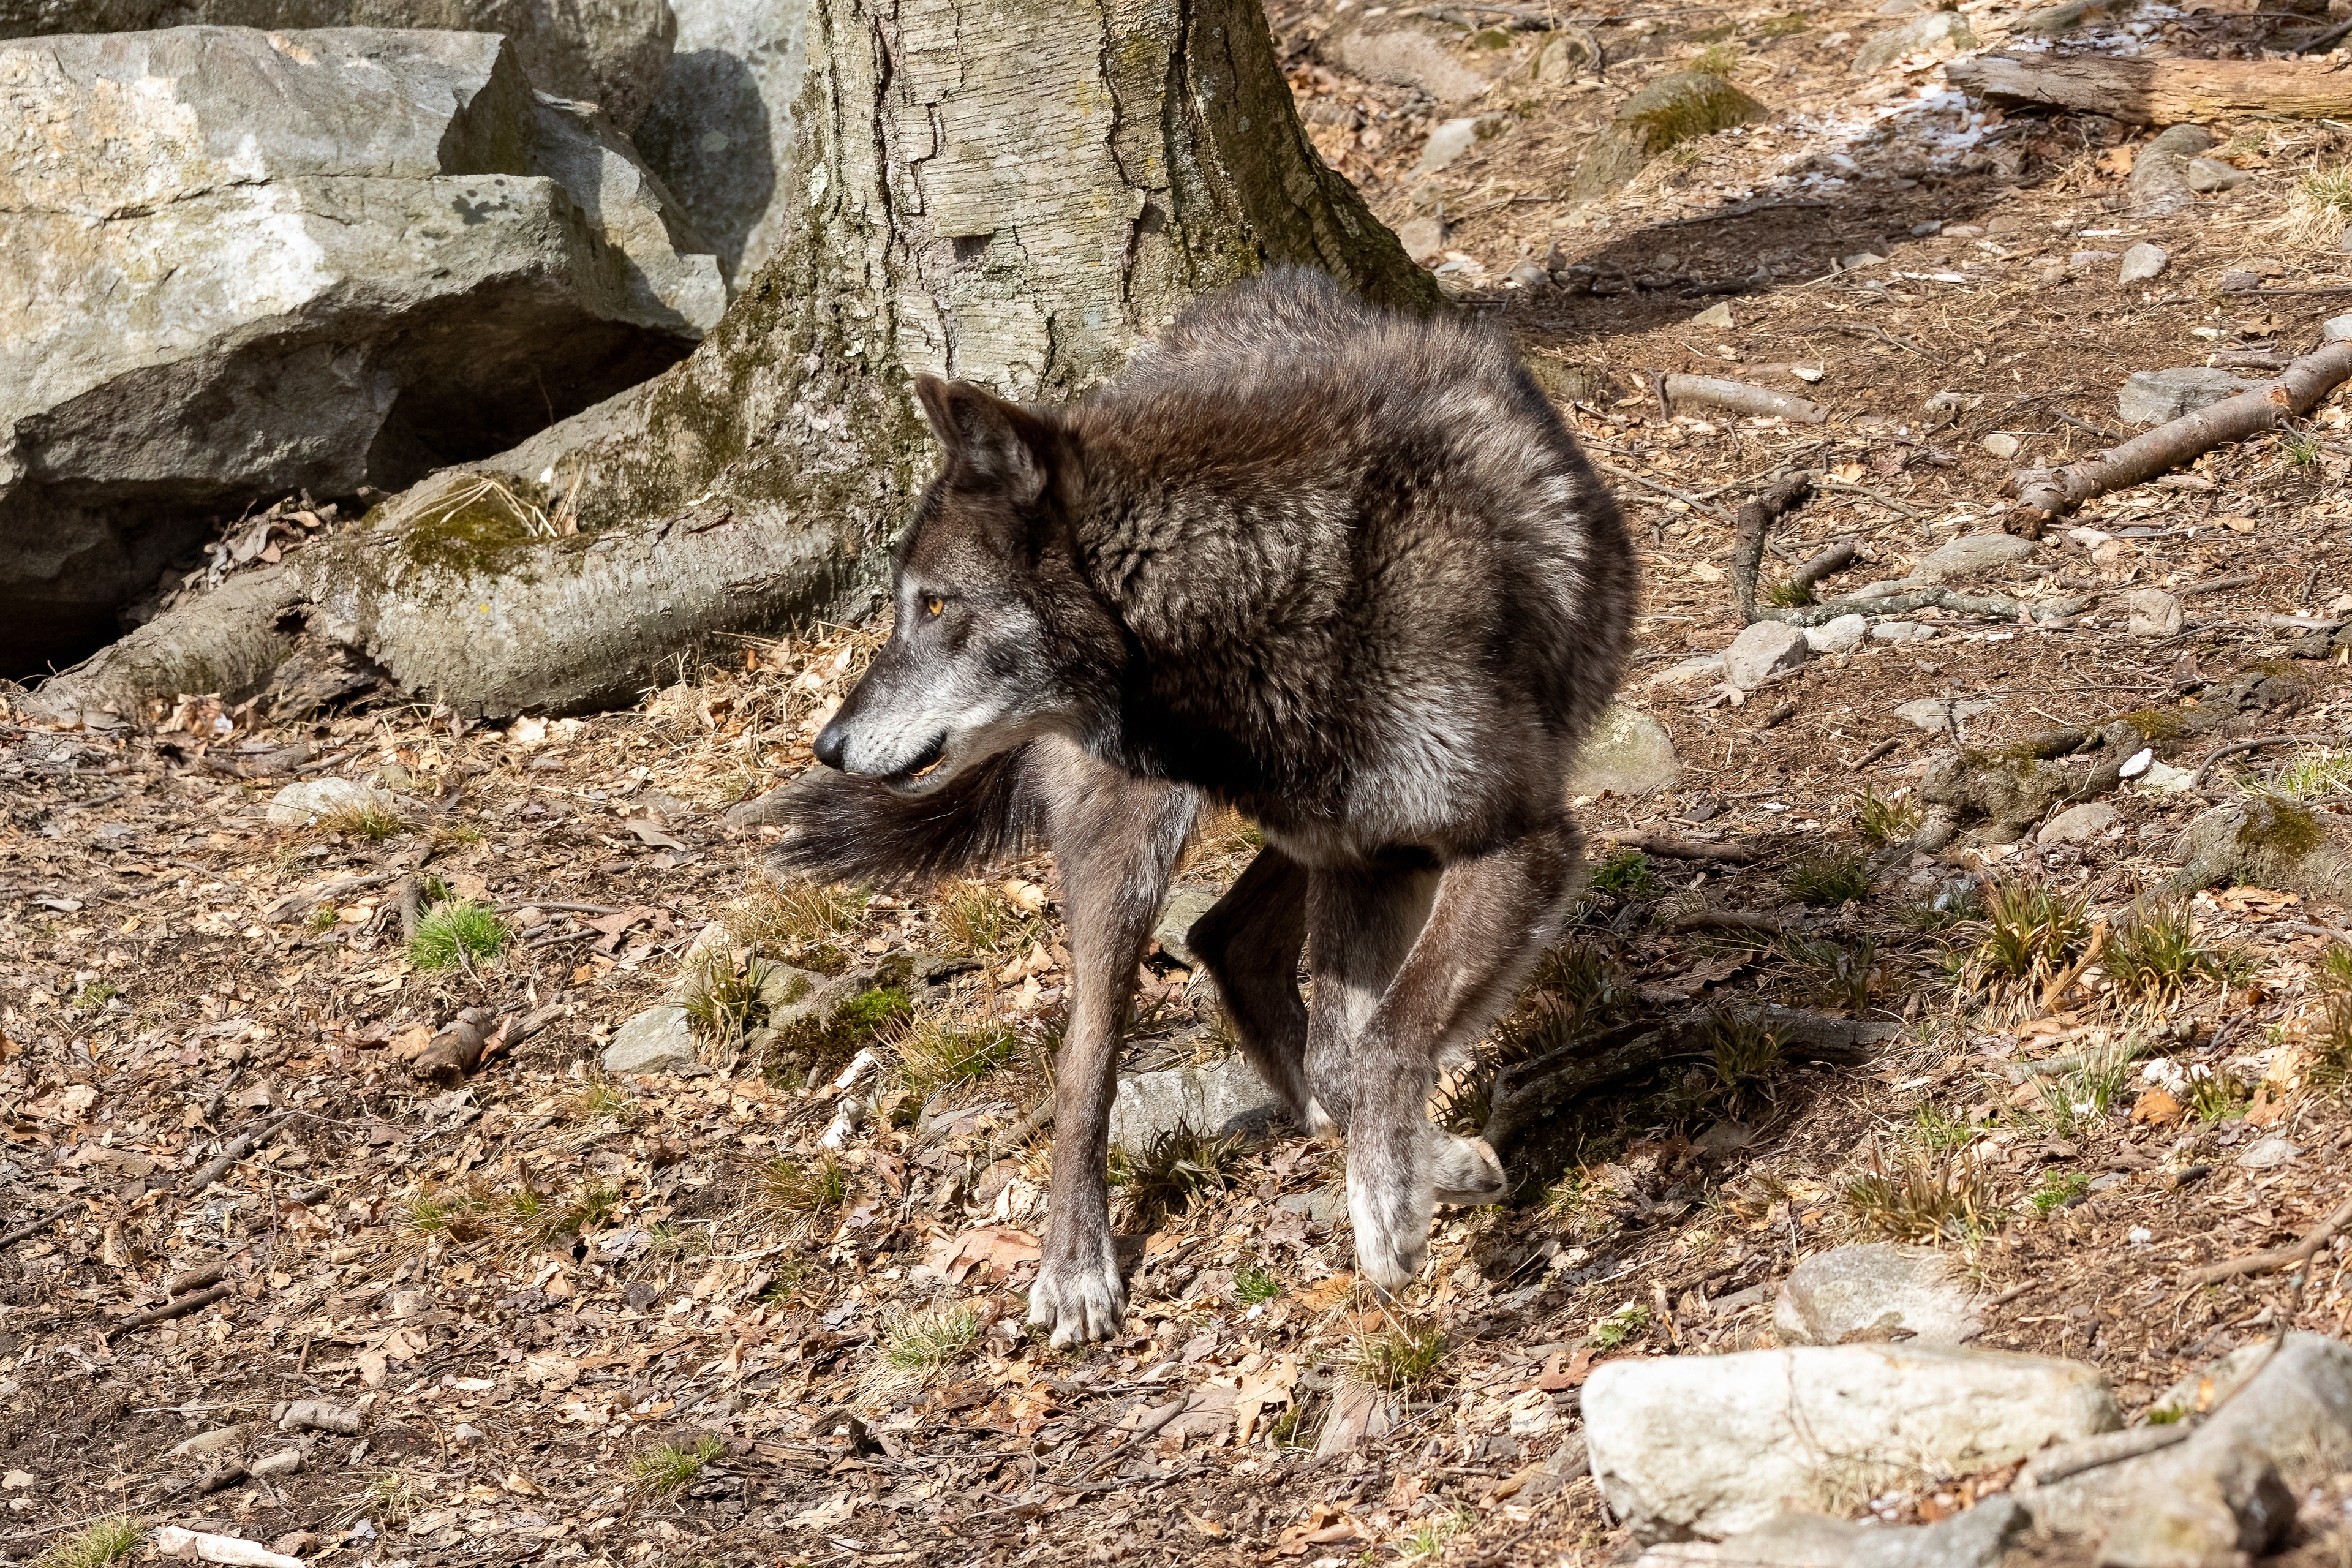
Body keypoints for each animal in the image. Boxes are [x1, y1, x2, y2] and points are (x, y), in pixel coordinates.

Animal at [777, 268, 1635, 1345]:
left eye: (934, 604)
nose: (829, 746)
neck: (1272, 586)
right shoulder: (1398, 859)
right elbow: (1359, 1051)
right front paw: (1406, 1194)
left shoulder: (1482, 845)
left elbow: (1372, 1047)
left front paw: (1404, 1179)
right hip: (1134, 852)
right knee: (1087, 1056)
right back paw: (1076, 1268)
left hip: (1314, 842)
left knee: (1227, 939)